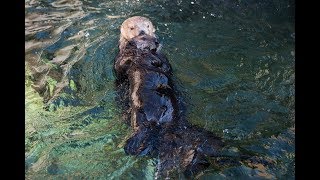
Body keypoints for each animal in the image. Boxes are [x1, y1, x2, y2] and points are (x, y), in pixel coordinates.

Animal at [114, 16, 222, 178]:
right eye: (141, 35)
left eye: (148, 27)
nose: (156, 41)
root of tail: (167, 127)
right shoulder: (121, 60)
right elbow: (121, 66)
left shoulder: (164, 59)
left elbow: (165, 66)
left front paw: (154, 60)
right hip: (140, 118)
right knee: (142, 136)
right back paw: (132, 145)